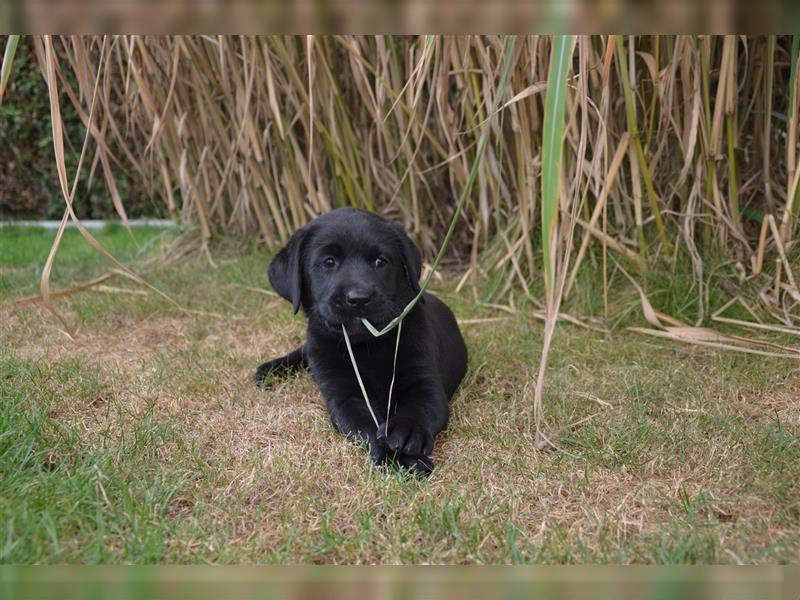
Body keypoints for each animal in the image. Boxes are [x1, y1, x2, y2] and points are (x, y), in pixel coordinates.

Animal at [255, 209, 468, 476]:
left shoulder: (424, 380)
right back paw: (269, 370)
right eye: (328, 262)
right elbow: (366, 426)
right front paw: (396, 457)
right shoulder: (344, 395)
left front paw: (405, 435)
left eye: (381, 261)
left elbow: (420, 408)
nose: (358, 298)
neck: (367, 346)